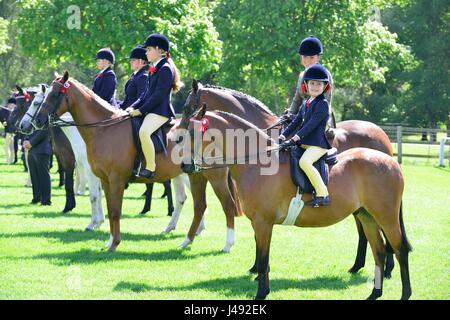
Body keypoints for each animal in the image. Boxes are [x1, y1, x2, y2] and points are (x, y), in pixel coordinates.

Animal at [29, 72, 243, 252]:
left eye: (55, 94)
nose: (36, 122)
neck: (104, 129)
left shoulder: (115, 179)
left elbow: (114, 210)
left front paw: (114, 243)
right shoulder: (105, 180)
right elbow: (110, 209)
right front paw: (108, 241)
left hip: (214, 177)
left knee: (227, 205)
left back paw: (227, 244)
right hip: (195, 175)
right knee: (199, 205)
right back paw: (186, 240)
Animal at [182, 105, 412, 300]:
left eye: (192, 133)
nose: (185, 166)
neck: (258, 163)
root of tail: (391, 161)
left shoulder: (263, 223)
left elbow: (263, 260)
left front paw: (261, 293)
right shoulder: (258, 223)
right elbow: (262, 258)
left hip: (386, 217)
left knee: (399, 250)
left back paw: (404, 294)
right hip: (367, 216)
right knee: (379, 251)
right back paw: (374, 293)